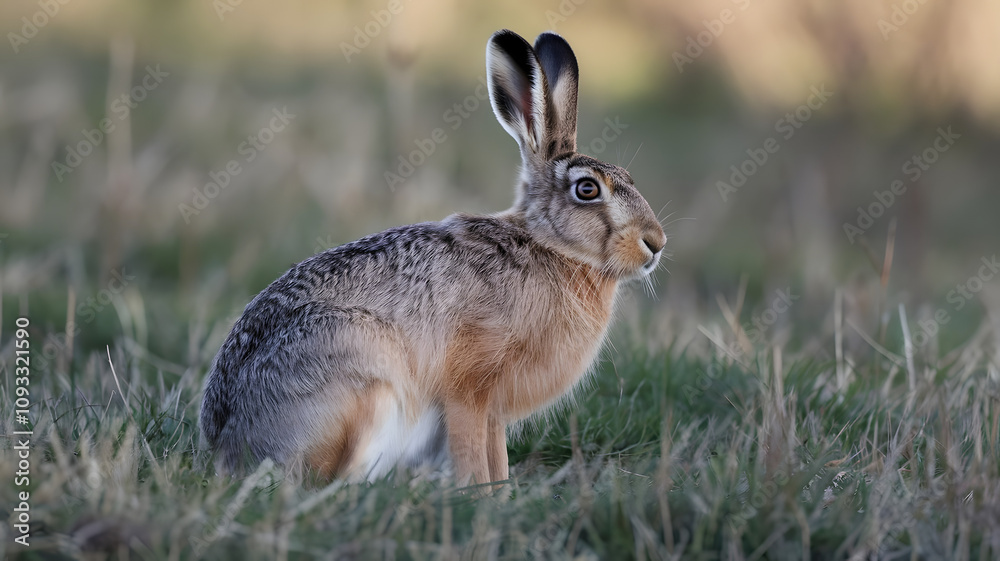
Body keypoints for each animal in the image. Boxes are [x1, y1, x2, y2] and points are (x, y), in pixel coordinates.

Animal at [200, 29, 666, 486]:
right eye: (587, 189)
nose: (656, 242)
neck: (549, 245)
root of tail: (230, 444)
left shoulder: (493, 412)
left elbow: (496, 458)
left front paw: (500, 495)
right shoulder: (469, 388)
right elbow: (472, 454)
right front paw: (479, 496)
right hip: (370, 383)